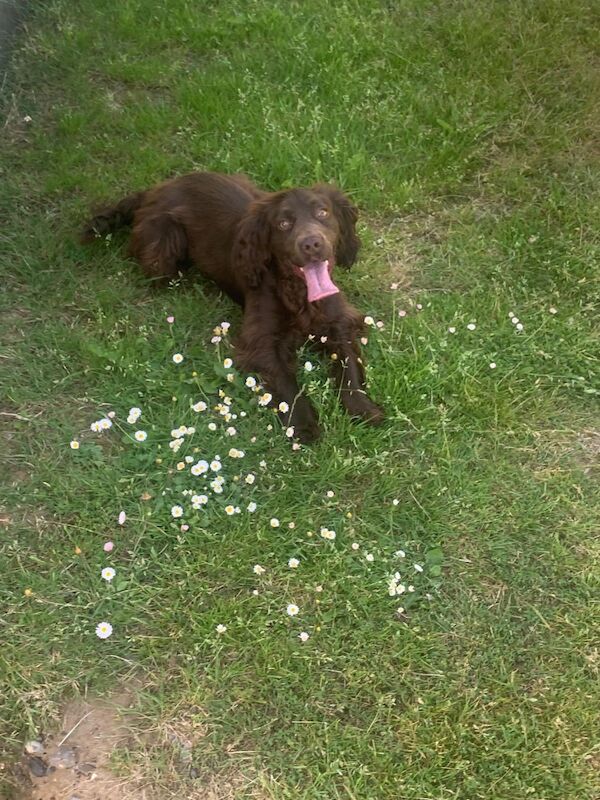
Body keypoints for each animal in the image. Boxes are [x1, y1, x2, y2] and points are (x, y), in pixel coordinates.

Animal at [82, 171, 382, 440]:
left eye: (322, 212)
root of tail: (157, 188)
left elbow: (350, 368)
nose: (311, 244)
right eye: (283, 223)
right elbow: (287, 385)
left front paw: (363, 409)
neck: (297, 292)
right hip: (163, 242)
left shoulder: (339, 323)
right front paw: (303, 426)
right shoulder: (261, 342)